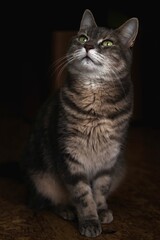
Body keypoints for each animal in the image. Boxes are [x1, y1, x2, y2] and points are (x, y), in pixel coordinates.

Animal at [21, 9, 139, 238]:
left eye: (107, 43)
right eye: (83, 38)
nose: (88, 46)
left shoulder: (109, 159)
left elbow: (100, 189)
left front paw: (101, 210)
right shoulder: (70, 156)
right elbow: (83, 195)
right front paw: (90, 221)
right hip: (43, 178)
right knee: (48, 201)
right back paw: (66, 209)